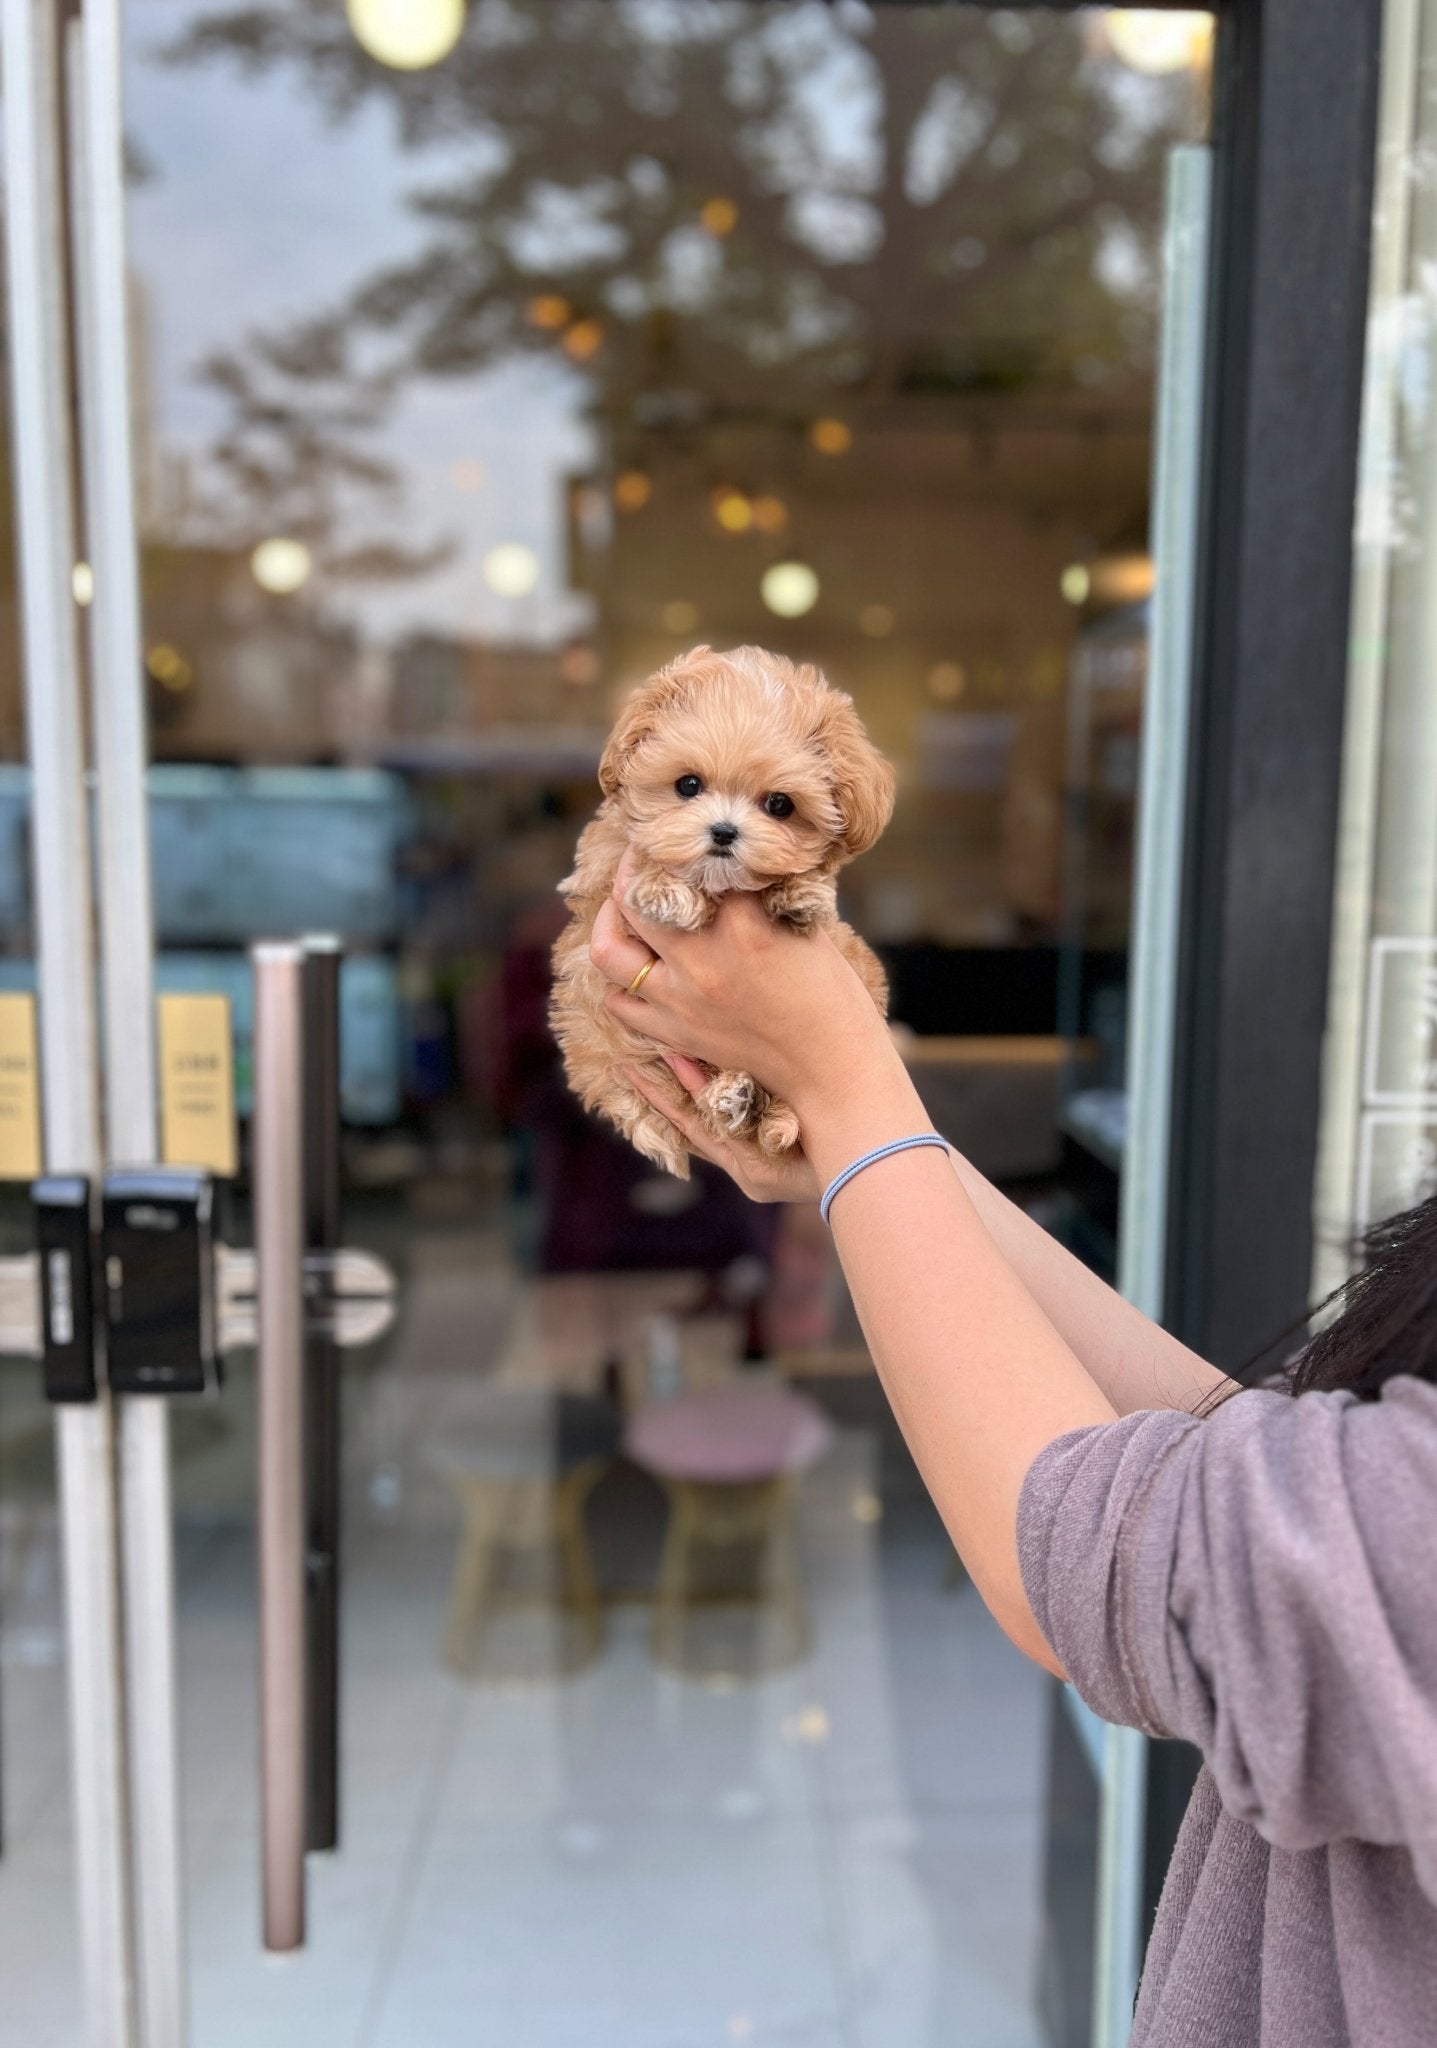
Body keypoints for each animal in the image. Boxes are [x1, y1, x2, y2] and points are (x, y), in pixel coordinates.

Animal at [548, 638, 888, 1187]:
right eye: (688, 785)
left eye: (780, 804)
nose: (724, 831)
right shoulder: (600, 883)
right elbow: (628, 859)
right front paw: (666, 891)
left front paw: (800, 893)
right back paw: (731, 1100)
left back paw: (751, 1106)